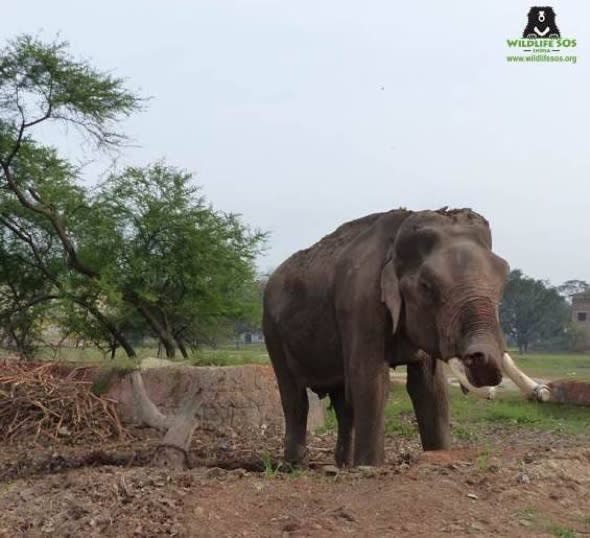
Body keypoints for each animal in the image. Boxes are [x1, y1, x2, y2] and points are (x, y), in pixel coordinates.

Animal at [264, 207, 508, 466]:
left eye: (504, 278)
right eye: (426, 286)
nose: (476, 357)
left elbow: (431, 388)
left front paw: (438, 453)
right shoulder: (360, 302)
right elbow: (371, 381)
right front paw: (369, 466)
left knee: (343, 403)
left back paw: (343, 464)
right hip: (271, 330)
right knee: (295, 398)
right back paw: (295, 464)